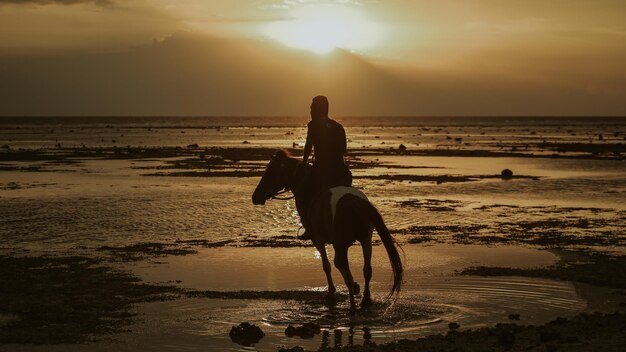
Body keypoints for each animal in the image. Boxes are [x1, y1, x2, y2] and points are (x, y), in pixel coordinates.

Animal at [251, 150, 402, 314]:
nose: (255, 197)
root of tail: (354, 202)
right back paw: (365, 299)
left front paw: (331, 292)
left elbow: (326, 265)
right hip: (365, 239)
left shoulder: (318, 240)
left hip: (340, 245)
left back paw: (352, 306)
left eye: (270, 172)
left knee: (343, 269)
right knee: (367, 269)